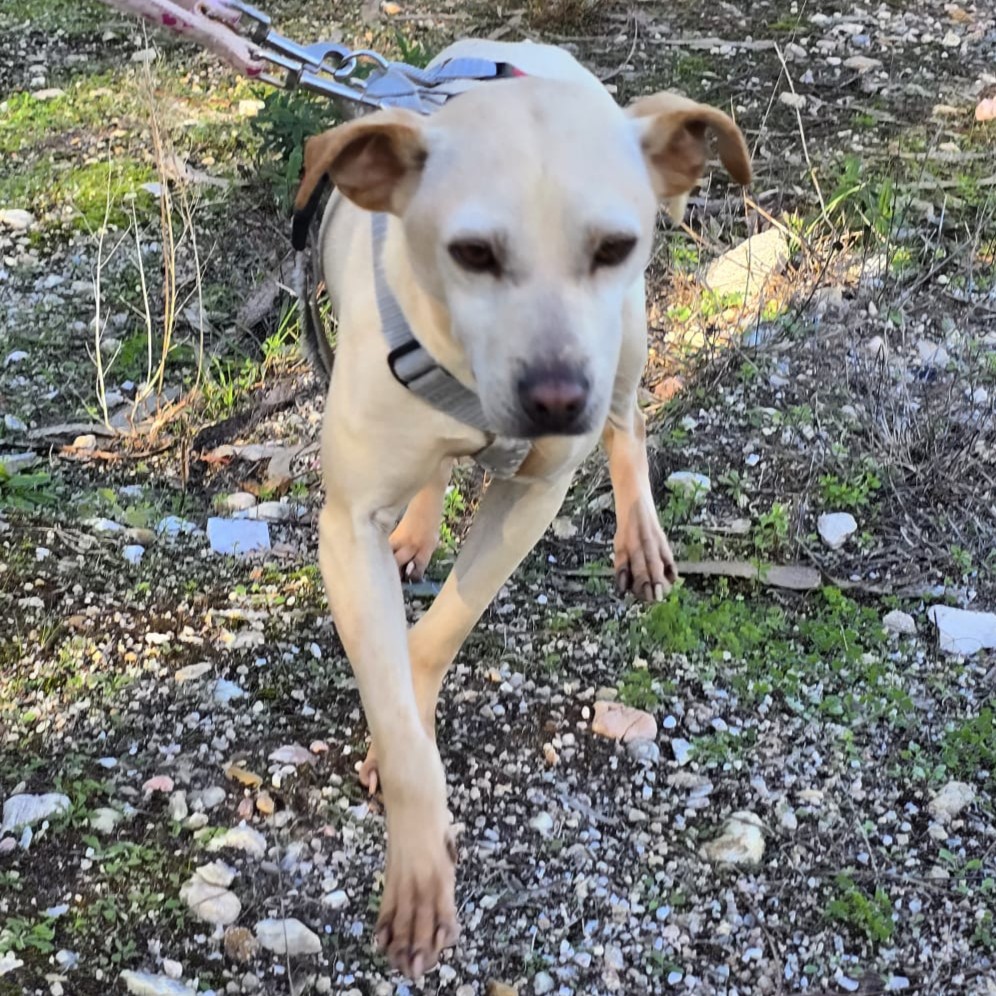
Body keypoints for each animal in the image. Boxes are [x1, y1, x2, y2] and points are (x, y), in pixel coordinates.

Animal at [293, 38, 750, 979]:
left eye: (613, 244)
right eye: (471, 253)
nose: (555, 399)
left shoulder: (532, 496)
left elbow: (434, 639)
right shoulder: (346, 526)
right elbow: (395, 692)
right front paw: (416, 847)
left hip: (628, 346)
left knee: (627, 428)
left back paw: (639, 536)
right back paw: (420, 525)